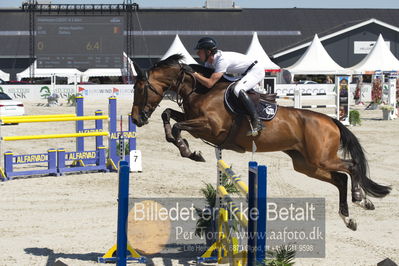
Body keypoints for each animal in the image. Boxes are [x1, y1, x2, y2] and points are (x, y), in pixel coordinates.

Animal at [130, 53, 390, 230]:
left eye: (140, 89)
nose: (135, 119)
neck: (200, 90)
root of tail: (331, 121)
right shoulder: (193, 120)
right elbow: (168, 116)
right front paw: (189, 151)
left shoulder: (209, 127)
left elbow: (176, 126)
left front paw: (189, 151)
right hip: (307, 165)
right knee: (339, 179)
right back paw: (348, 217)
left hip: (321, 158)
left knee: (351, 167)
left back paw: (360, 199)